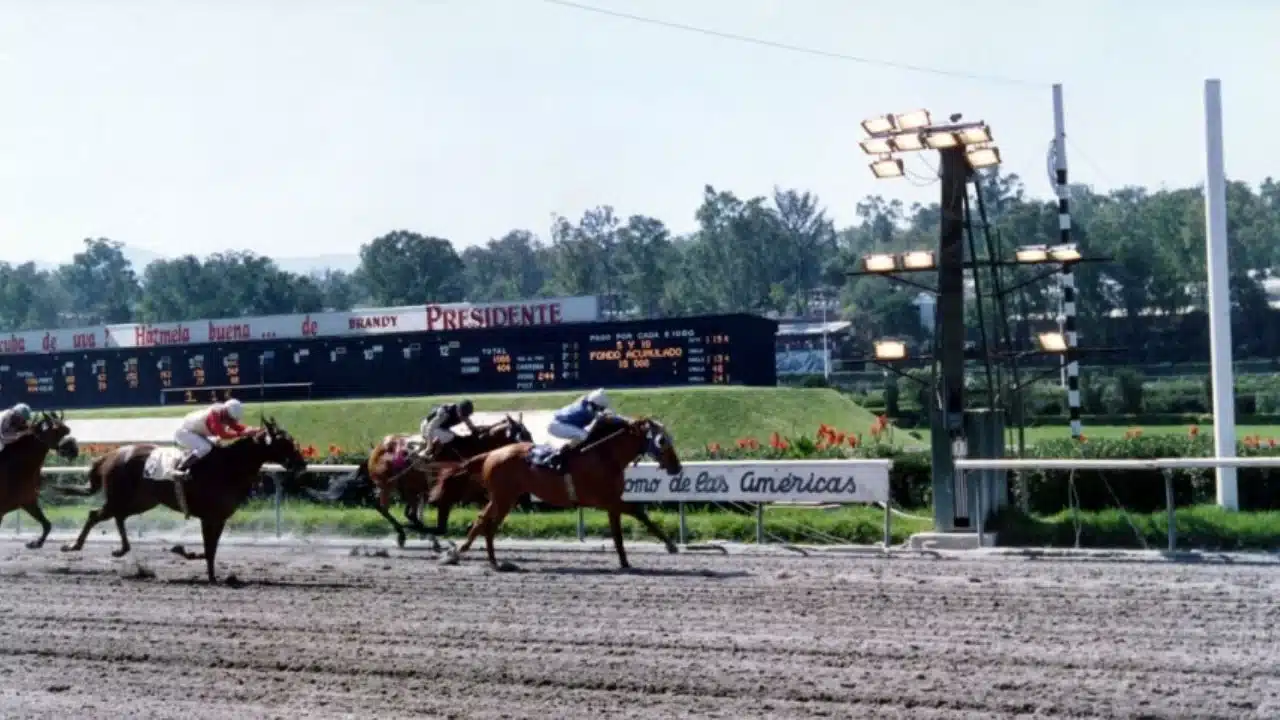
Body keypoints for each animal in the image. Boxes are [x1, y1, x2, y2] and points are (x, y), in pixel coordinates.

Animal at [0, 409, 79, 548]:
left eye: (67, 429)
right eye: (57, 431)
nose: (74, 449)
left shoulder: (28, 501)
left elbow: (47, 525)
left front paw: (35, 542)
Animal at [60, 415, 309, 584]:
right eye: (285, 443)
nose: (302, 464)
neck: (229, 467)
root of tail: (110, 455)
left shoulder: (219, 518)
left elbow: (211, 550)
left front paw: (208, 572)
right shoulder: (208, 517)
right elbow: (208, 550)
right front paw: (187, 555)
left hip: (142, 500)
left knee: (118, 517)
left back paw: (121, 549)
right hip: (121, 497)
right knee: (95, 515)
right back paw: (73, 545)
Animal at [307, 412, 532, 545]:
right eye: (523, 433)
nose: (531, 448)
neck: (470, 449)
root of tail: (376, 450)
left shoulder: (474, 491)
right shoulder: (445, 496)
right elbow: (441, 527)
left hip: (409, 488)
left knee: (406, 511)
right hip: (389, 484)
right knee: (383, 507)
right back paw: (402, 533)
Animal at [430, 412, 686, 568]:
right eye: (662, 441)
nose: (677, 466)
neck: (604, 455)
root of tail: (490, 454)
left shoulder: (612, 501)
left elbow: (618, 534)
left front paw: (624, 561)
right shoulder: (607, 500)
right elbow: (639, 513)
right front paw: (671, 545)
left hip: (503, 497)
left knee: (482, 520)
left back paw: (464, 554)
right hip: (504, 497)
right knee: (488, 524)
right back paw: (492, 561)